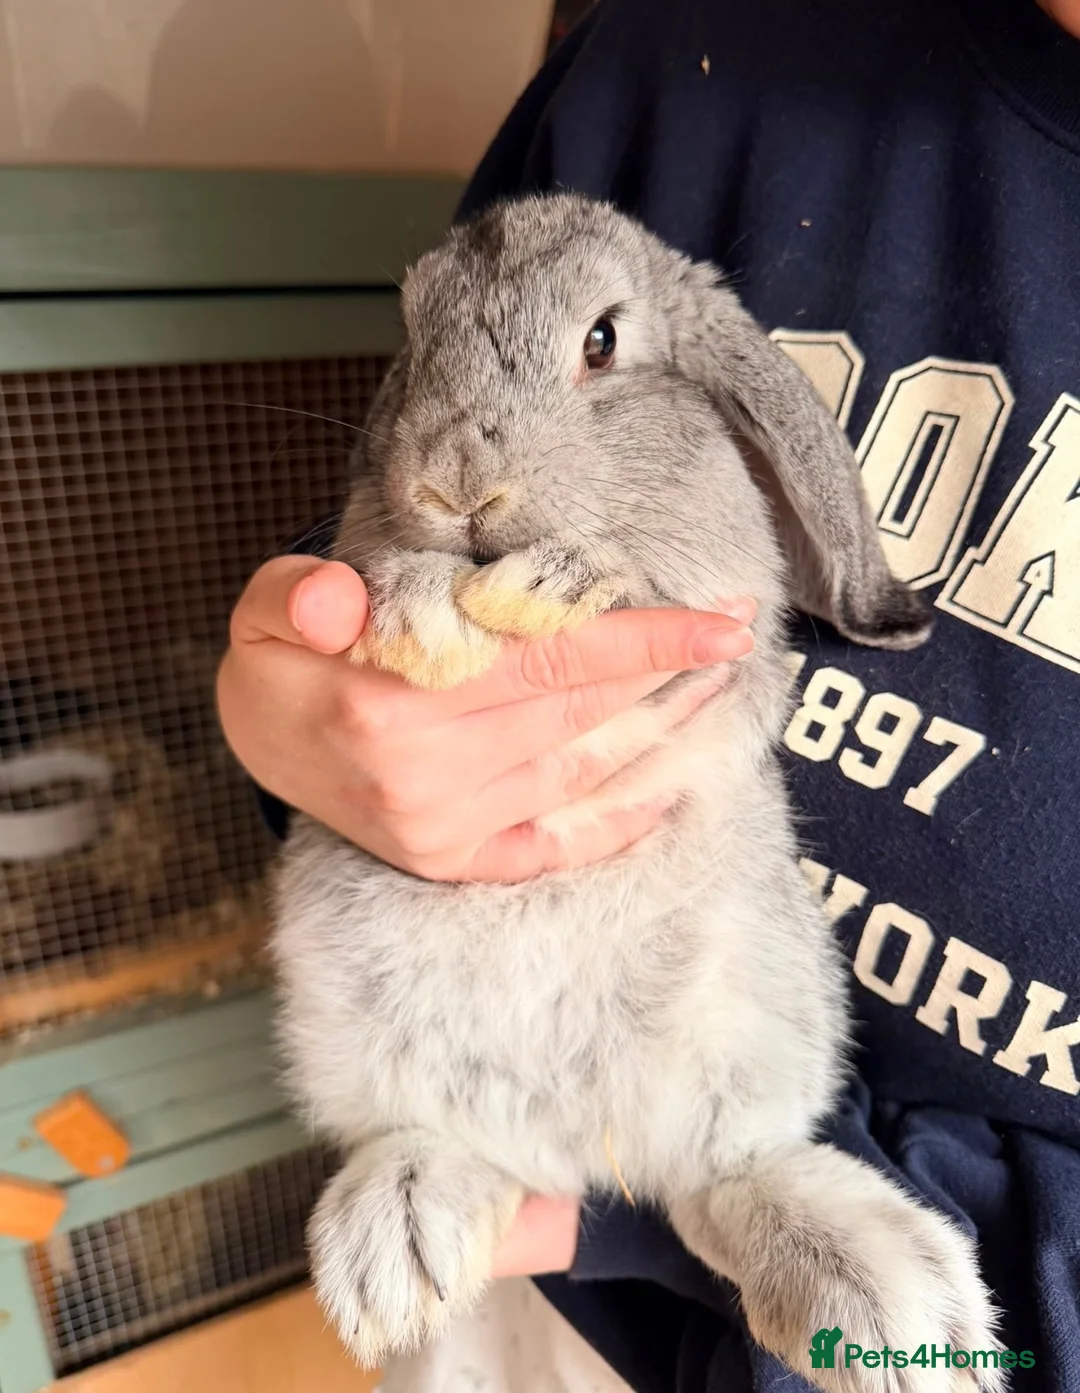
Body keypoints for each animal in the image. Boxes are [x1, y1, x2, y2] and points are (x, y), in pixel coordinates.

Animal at [270, 193, 1004, 1393]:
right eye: (412, 331)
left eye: (603, 342)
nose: (453, 486)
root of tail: (576, 1142)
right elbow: (389, 572)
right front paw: (418, 614)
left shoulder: (722, 618)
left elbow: (649, 587)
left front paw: (551, 588)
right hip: (350, 1012)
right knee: (441, 1138)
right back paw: (398, 1236)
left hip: (756, 1017)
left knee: (719, 1177)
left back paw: (886, 1300)